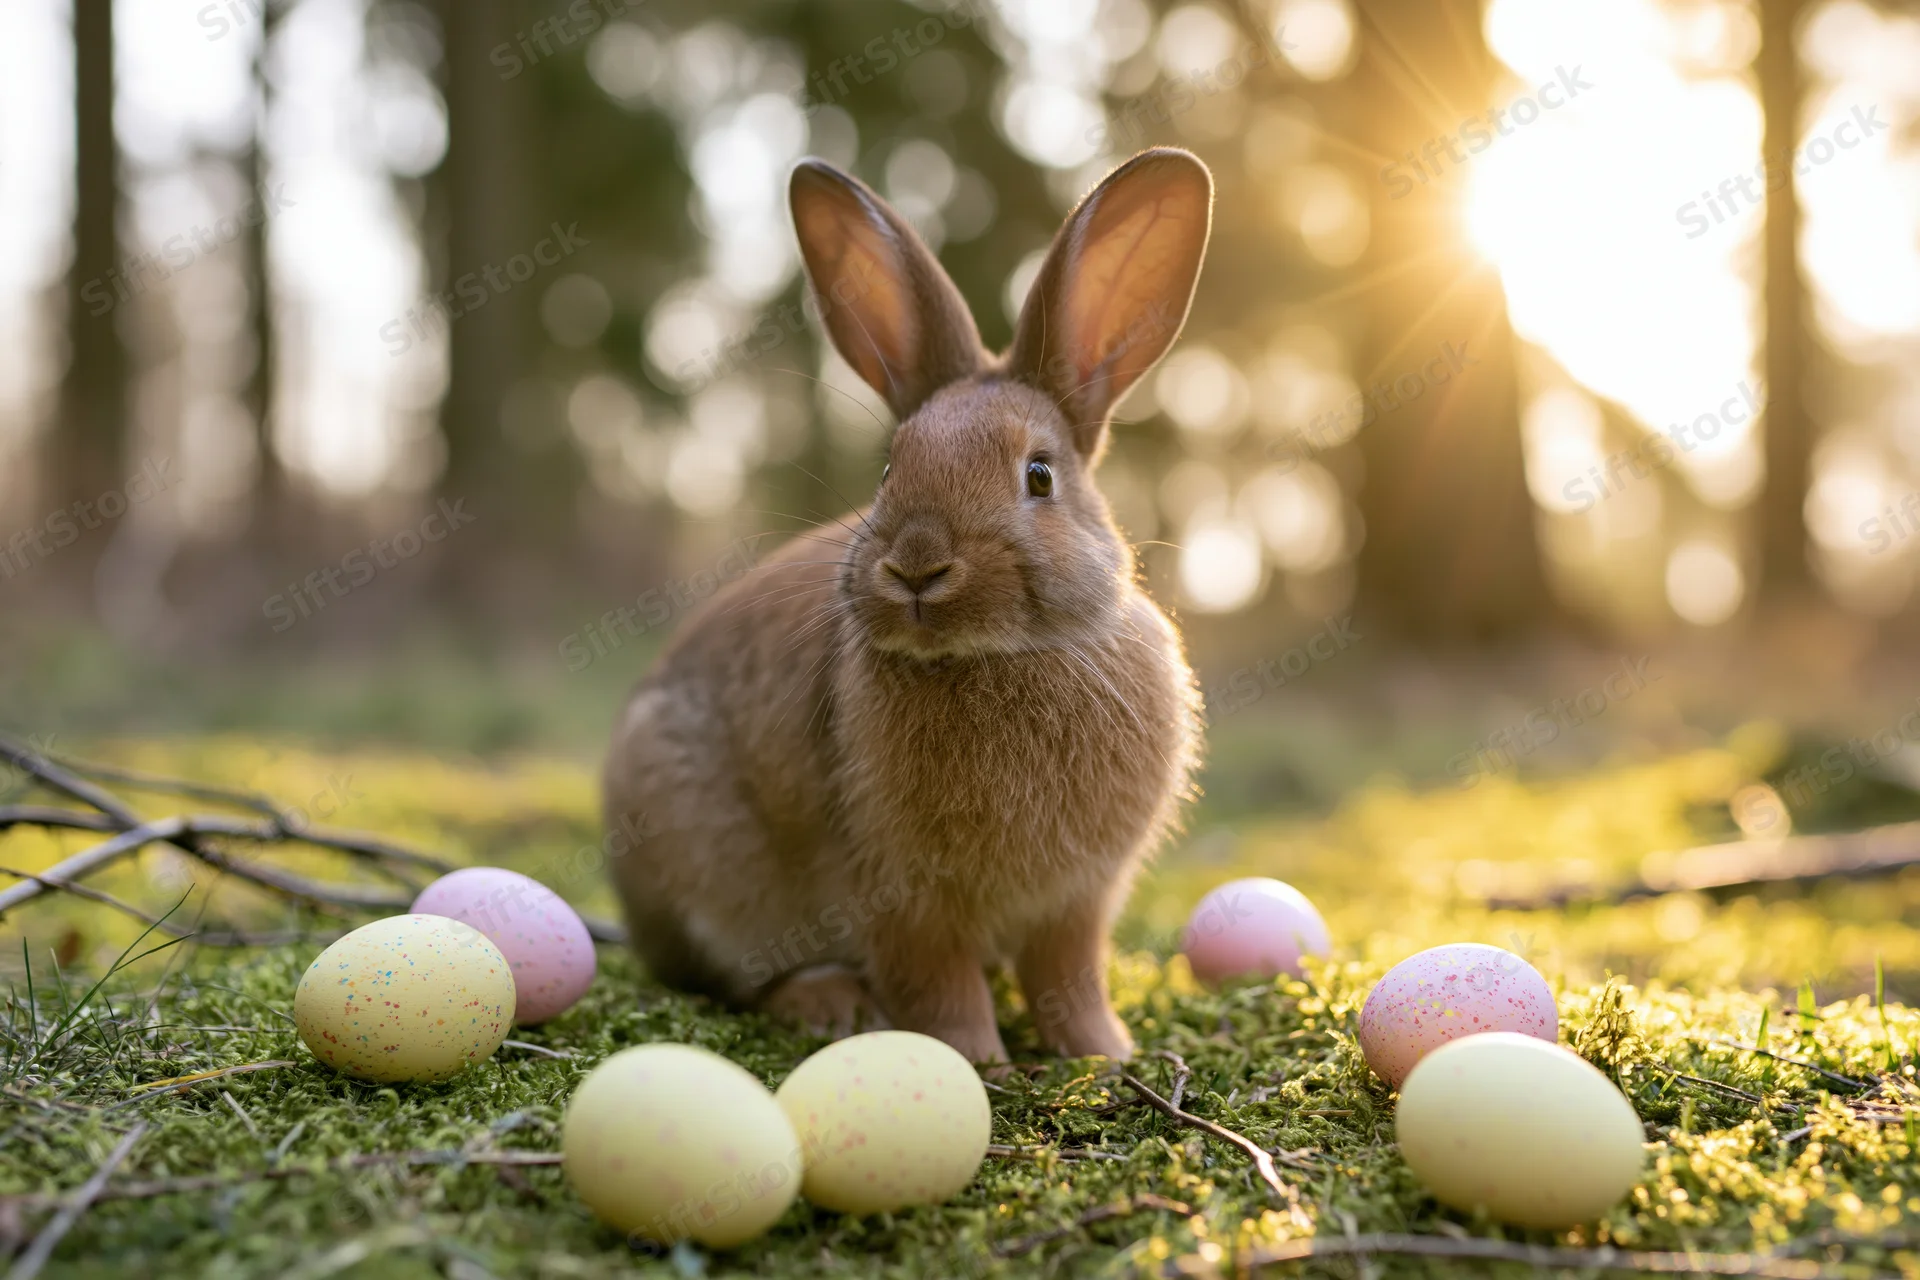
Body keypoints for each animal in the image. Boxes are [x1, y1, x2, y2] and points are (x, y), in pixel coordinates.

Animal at [603, 147, 1212, 1064]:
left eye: (1040, 476)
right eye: (892, 467)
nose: (918, 565)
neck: (996, 658)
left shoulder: (1078, 901)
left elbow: (1070, 976)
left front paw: (1101, 1054)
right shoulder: (900, 893)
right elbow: (936, 981)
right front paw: (974, 1059)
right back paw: (827, 1002)